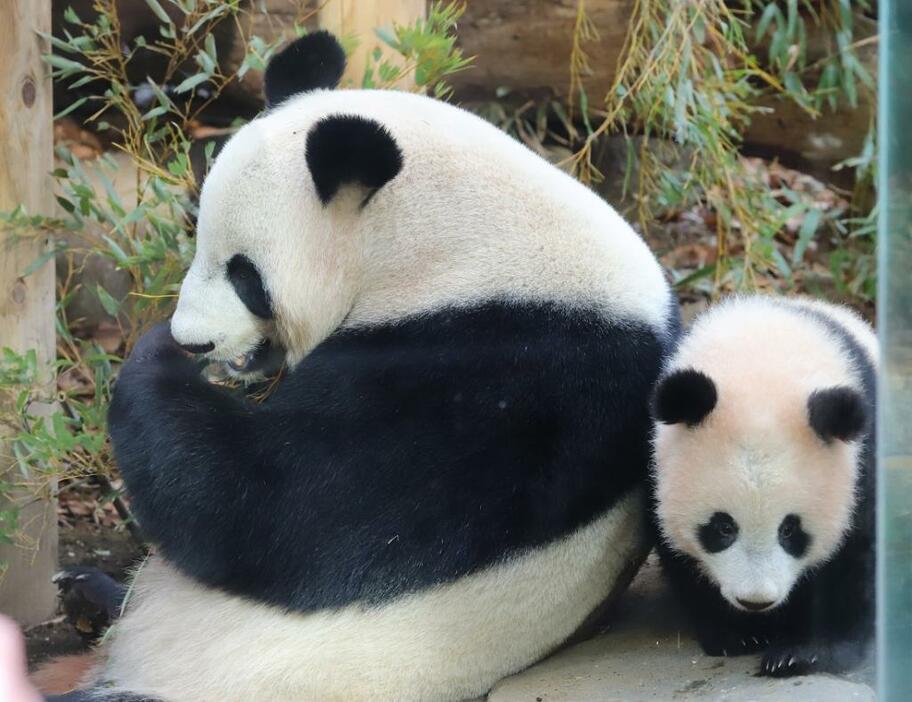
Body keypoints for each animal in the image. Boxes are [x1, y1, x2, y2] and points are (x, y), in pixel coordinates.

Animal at [51, 31, 676, 702]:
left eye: (247, 276)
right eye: (195, 231)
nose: (193, 341)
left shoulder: (510, 378)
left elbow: (274, 507)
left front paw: (155, 358)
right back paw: (86, 595)